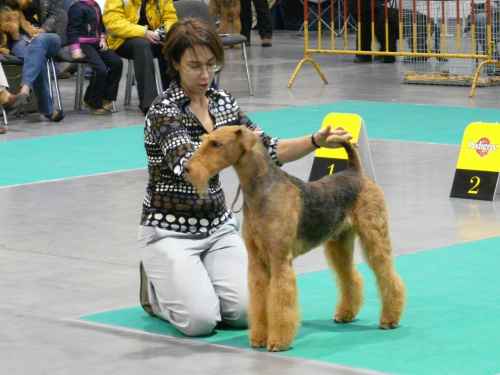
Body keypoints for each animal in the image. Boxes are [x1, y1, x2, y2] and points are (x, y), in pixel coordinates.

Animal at [184, 126, 406, 352]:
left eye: (216, 144)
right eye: (204, 140)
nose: (186, 168)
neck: (262, 191)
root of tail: (355, 172)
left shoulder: (280, 259)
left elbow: (280, 303)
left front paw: (277, 341)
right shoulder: (257, 261)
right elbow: (259, 301)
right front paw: (258, 337)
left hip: (374, 236)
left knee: (389, 277)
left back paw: (389, 319)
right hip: (339, 243)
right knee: (351, 277)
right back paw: (345, 313)